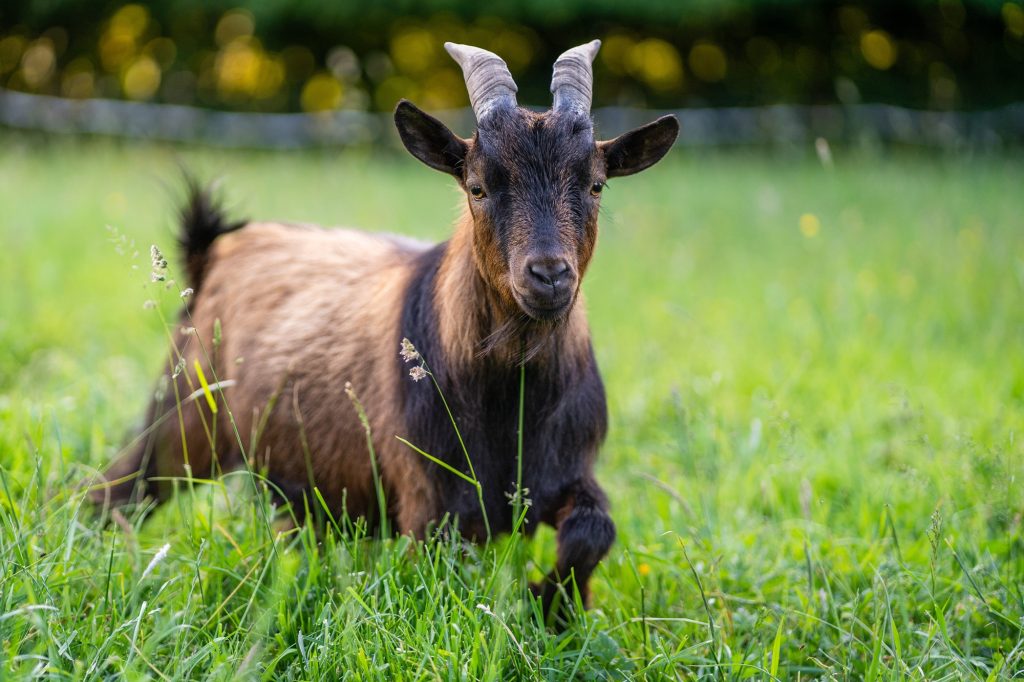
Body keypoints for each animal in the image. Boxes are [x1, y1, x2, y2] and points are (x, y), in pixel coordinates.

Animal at [90, 40, 678, 621]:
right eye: (478, 187)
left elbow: (594, 529)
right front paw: (543, 603)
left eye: (596, 184)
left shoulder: (566, 470)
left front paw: (553, 606)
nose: (549, 274)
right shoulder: (430, 503)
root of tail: (211, 254)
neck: (513, 403)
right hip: (185, 416)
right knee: (120, 487)